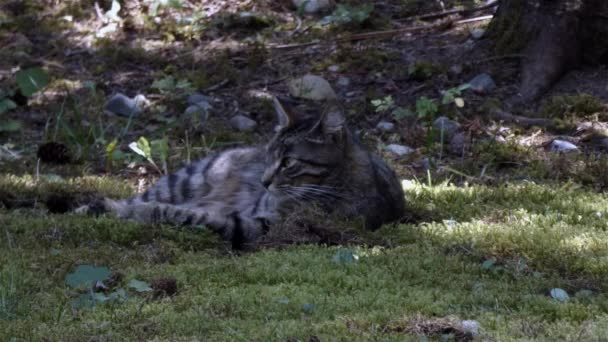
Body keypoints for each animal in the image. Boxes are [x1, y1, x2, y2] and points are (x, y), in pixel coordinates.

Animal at [85, 98, 406, 248]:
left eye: (288, 162)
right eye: (269, 155)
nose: (263, 182)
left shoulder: (261, 227)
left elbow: (180, 214)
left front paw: (137, 214)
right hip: (184, 180)